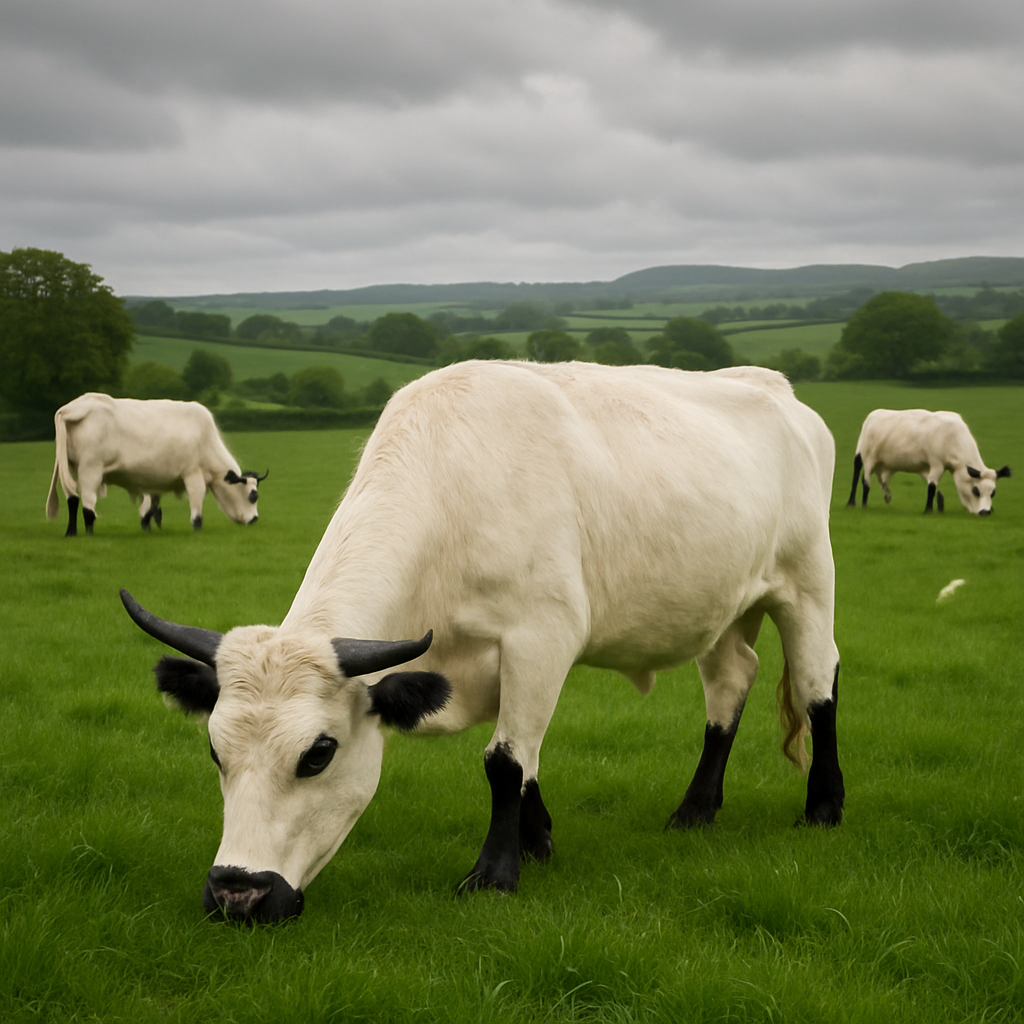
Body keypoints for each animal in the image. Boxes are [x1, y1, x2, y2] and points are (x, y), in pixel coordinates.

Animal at [46, 393, 267, 535]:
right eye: (253, 495)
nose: (255, 519)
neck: (204, 438)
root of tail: (73, 407)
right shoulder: (193, 476)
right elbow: (196, 509)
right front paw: (197, 529)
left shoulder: (154, 483)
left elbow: (151, 510)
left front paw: (149, 528)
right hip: (90, 469)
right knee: (87, 505)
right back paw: (89, 532)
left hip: (70, 467)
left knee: (72, 498)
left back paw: (71, 532)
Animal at [120, 360, 844, 923]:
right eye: (215, 750)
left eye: (318, 754)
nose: (236, 895)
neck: (453, 491)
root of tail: (773, 386)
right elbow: (526, 758)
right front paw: (537, 840)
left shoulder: (541, 636)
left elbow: (503, 759)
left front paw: (495, 873)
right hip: (724, 606)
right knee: (730, 682)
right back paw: (695, 810)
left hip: (807, 583)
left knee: (818, 681)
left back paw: (824, 806)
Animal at [847, 408, 1010, 515]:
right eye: (975, 490)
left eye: (993, 492)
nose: (985, 512)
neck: (953, 436)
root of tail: (874, 414)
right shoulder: (936, 464)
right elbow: (931, 487)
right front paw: (928, 510)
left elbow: (935, 488)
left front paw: (939, 508)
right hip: (866, 456)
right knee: (862, 478)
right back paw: (856, 503)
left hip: (880, 463)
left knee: (881, 480)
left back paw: (886, 496)